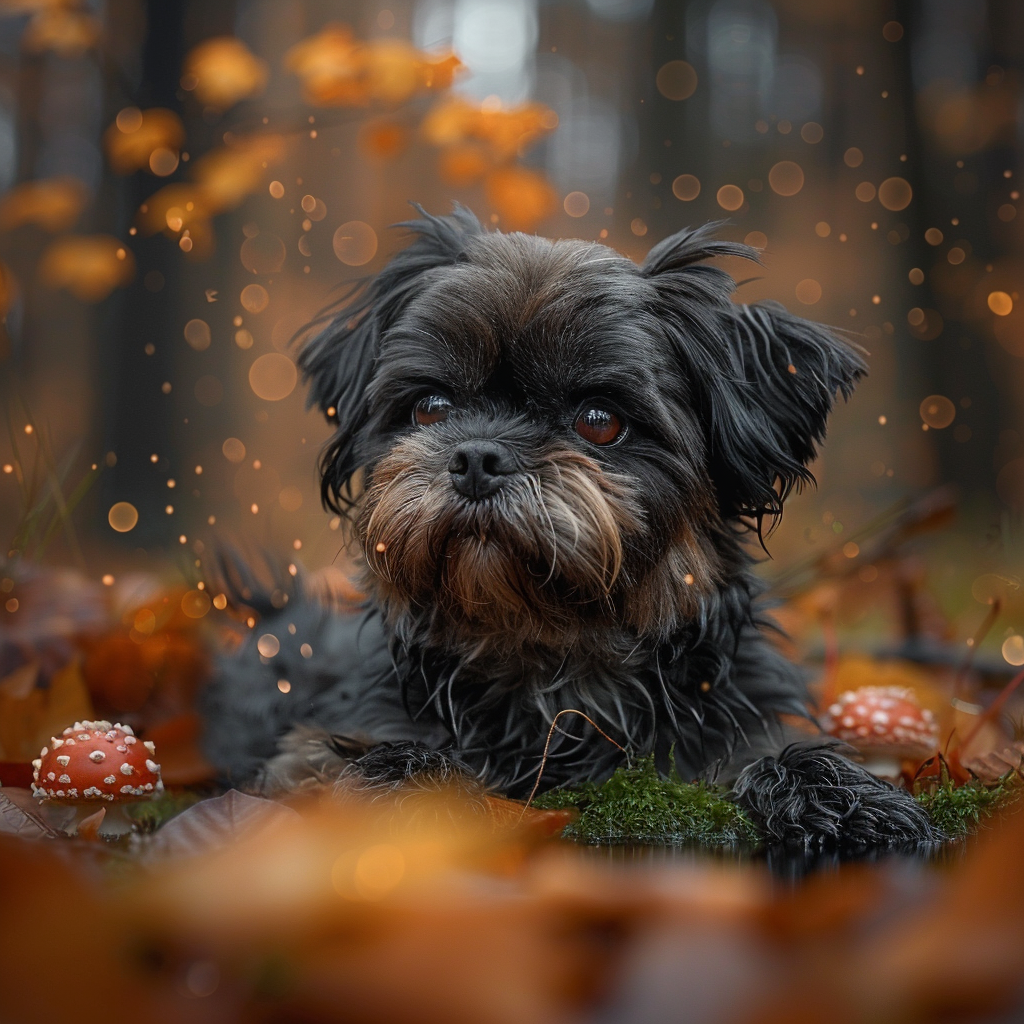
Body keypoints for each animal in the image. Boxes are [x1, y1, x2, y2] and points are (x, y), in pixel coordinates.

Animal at [201, 207, 942, 847]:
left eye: (599, 420)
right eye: (431, 407)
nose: (478, 457)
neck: (557, 677)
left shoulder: (736, 727)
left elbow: (774, 755)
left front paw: (843, 797)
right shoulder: (326, 740)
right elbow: (359, 759)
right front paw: (403, 785)